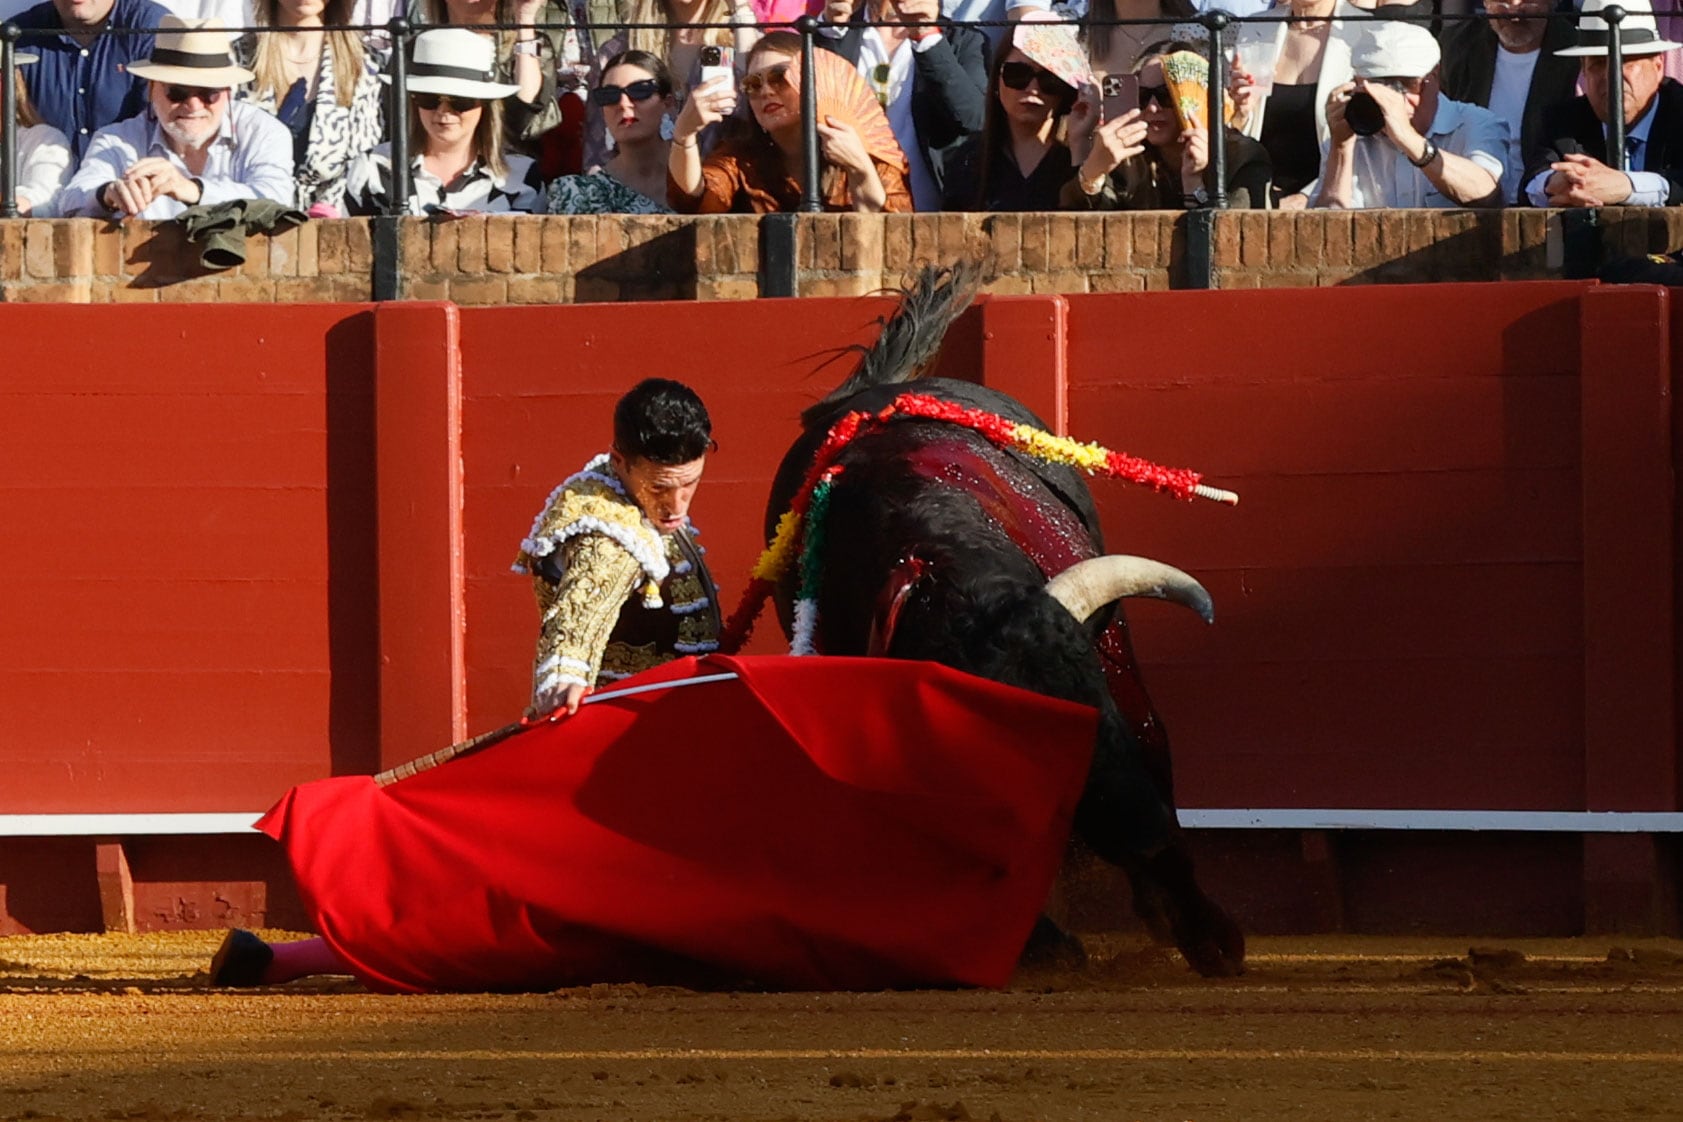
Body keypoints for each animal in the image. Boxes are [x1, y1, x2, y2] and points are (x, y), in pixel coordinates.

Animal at [770, 329, 1245, 975]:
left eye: (1094, 699)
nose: (1138, 829)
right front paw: (1042, 944)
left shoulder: (1119, 679)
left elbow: (1150, 752)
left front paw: (1210, 937)